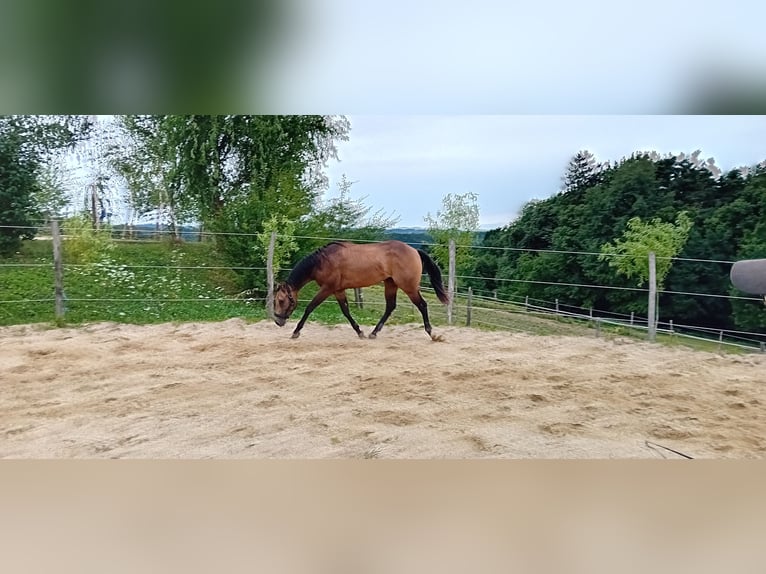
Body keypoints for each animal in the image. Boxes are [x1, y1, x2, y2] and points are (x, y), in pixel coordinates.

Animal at [273, 240, 450, 340]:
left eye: (281, 300)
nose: (277, 321)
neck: (322, 261)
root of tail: (414, 251)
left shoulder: (327, 288)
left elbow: (310, 307)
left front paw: (296, 332)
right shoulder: (338, 290)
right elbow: (346, 311)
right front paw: (360, 332)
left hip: (409, 287)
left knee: (422, 305)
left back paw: (432, 334)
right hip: (391, 284)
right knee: (390, 306)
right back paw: (373, 333)